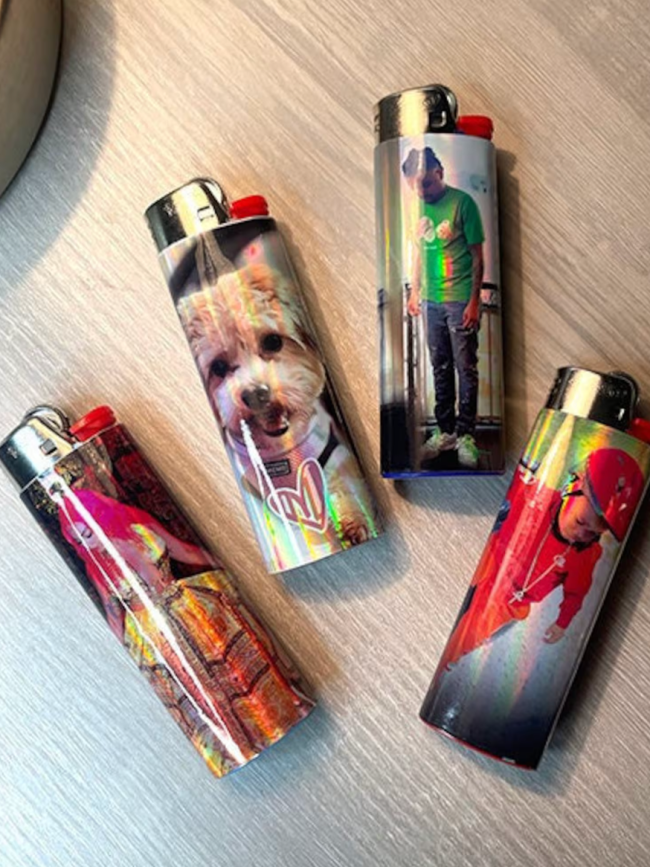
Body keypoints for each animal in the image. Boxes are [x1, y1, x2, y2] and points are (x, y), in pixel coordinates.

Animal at [177, 237, 373, 546]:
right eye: (218, 367)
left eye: (272, 341)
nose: (255, 394)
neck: (282, 452)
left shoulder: (337, 457)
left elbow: (343, 486)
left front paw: (352, 521)